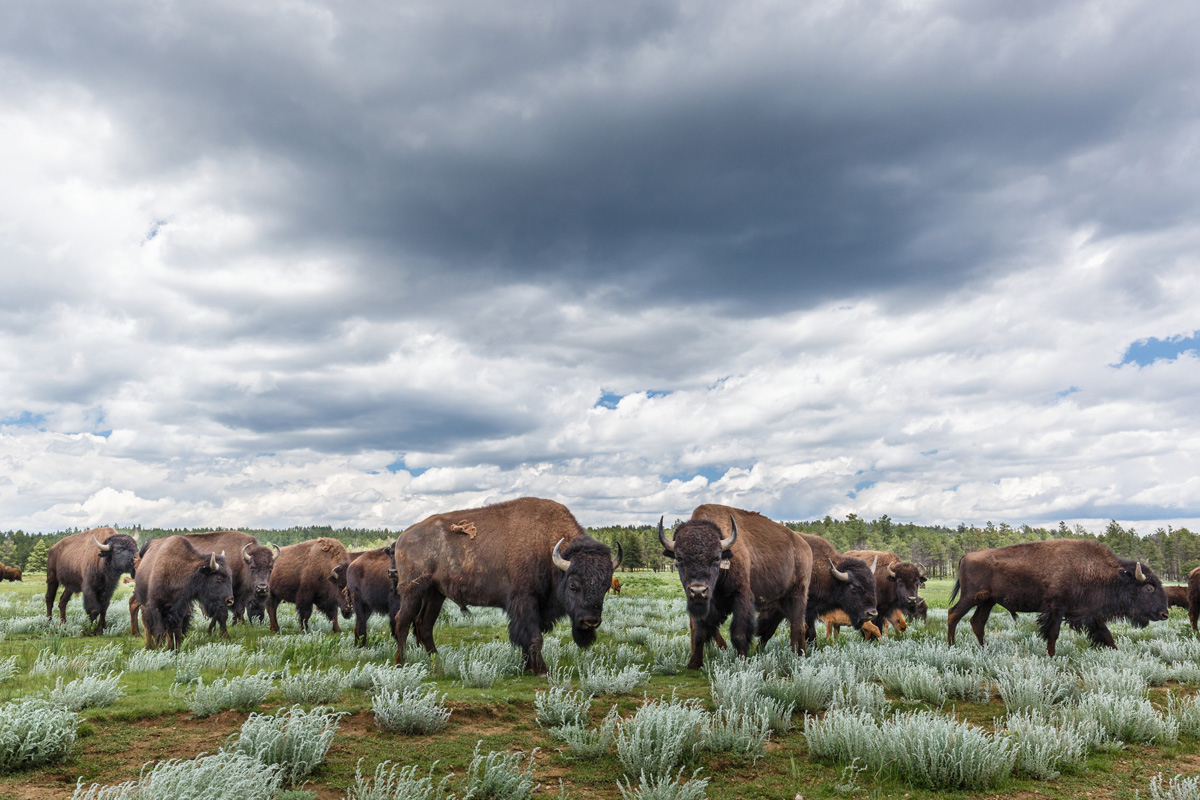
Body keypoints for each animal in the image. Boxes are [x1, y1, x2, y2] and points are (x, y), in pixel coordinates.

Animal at [388, 496, 624, 671]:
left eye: (605, 587)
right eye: (574, 585)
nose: (590, 621)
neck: (546, 546)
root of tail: (402, 537)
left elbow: (528, 638)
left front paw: (528, 667)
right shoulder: (524, 602)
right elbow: (534, 637)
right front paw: (542, 671)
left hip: (435, 593)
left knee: (424, 626)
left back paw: (439, 664)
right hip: (412, 589)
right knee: (402, 621)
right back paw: (401, 664)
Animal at [657, 506, 816, 671]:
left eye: (716, 558)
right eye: (679, 559)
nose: (698, 590)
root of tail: (805, 546)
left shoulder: (741, 598)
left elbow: (738, 633)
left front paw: (743, 662)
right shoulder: (702, 605)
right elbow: (699, 632)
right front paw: (693, 664)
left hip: (798, 593)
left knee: (797, 626)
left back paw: (797, 657)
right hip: (781, 600)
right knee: (799, 625)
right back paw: (799, 655)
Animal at [945, 537, 1171, 657]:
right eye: (1148, 588)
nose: (1164, 614)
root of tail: (966, 556)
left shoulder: (1090, 615)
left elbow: (1106, 636)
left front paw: (1119, 654)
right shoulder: (1056, 609)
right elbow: (1053, 634)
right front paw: (1051, 657)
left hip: (988, 601)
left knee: (977, 622)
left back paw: (986, 649)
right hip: (971, 597)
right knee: (953, 614)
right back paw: (951, 646)